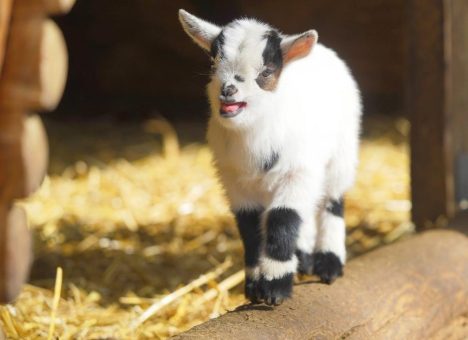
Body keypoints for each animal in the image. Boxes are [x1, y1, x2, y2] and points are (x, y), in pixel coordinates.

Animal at [178, 8, 362, 306]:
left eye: (266, 72)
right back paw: (304, 260)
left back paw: (329, 264)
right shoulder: (235, 181)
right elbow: (251, 227)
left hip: (341, 153)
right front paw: (255, 287)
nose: (228, 90)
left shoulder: (297, 171)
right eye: (214, 63)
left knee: (332, 201)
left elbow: (283, 218)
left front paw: (275, 287)